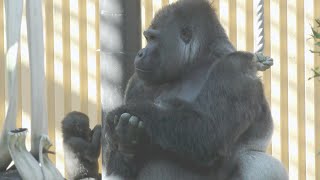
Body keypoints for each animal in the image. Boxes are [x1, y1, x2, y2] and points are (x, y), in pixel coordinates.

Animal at [104, 0, 288, 179]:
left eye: (153, 39)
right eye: (147, 38)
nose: (140, 53)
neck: (196, 63)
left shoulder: (236, 67)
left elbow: (208, 130)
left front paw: (123, 113)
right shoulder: (137, 82)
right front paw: (128, 143)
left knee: (258, 161)